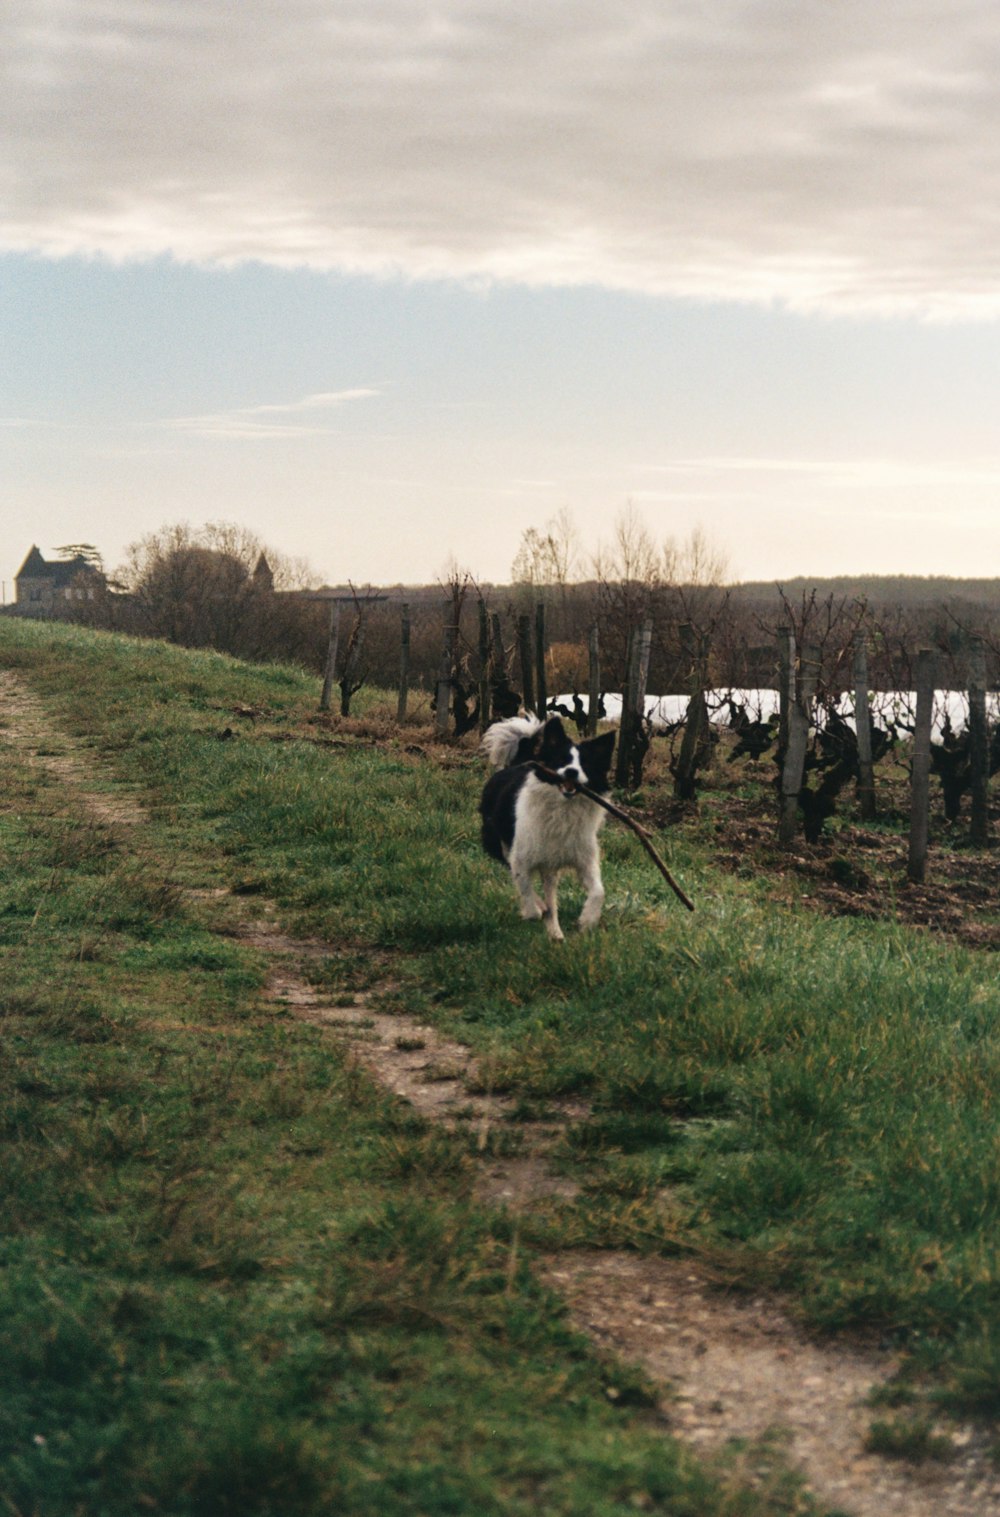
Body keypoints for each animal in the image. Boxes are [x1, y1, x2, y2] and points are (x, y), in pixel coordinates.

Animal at [479, 716, 613, 940]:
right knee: (515, 872)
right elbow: (526, 892)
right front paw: (533, 910)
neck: (563, 808)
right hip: (499, 843)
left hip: (550, 867)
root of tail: (519, 762)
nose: (571, 771)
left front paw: (587, 920)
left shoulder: (584, 858)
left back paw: (555, 933)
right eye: (561, 760)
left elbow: (599, 891)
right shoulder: (521, 858)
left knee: (551, 895)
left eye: (585, 764)